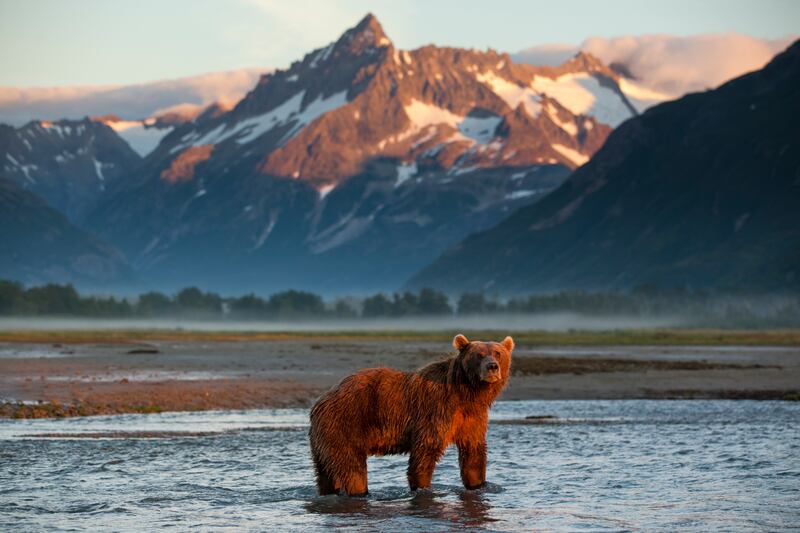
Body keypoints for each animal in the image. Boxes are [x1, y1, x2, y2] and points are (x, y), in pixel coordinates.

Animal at [308, 334, 513, 496]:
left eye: (498, 353)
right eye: (479, 355)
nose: (492, 367)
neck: (467, 393)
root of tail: (319, 403)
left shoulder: (472, 417)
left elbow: (473, 453)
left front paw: (479, 485)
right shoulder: (436, 410)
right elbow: (426, 451)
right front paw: (423, 488)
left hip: (324, 441)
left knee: (325, 474)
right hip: (346, 425)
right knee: (353, 470)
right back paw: (359, 492)